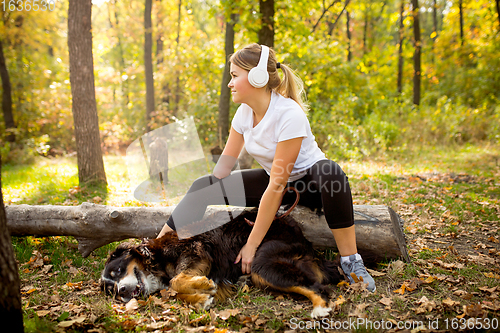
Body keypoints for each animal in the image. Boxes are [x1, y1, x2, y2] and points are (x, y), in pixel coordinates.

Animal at [99, 195, 346, 320]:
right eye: (111, 290)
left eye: (117, 270)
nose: (121, 291)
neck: (156, 259)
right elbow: (178, 292)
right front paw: (201, 298)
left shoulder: (196, 250)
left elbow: (176, 281)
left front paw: (201, 286)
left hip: (261, 264)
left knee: (318, 288)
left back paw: (321, 309)